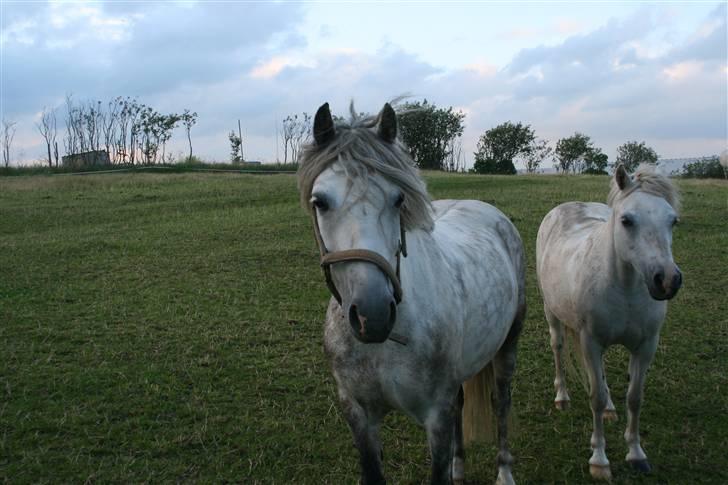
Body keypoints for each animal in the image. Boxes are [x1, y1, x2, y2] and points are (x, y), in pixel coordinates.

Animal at [536, 164, 684, 478]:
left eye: (673, 221)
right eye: (627, 220)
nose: (667, 280)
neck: (625, 287)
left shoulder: (645, 346)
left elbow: (634, 397)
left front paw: (636, 454)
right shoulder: (591, 342)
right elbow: (595, 397)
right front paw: (599, 460)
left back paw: (610, 409)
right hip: (552, 315)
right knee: (558, 349)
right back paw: (562, 397)